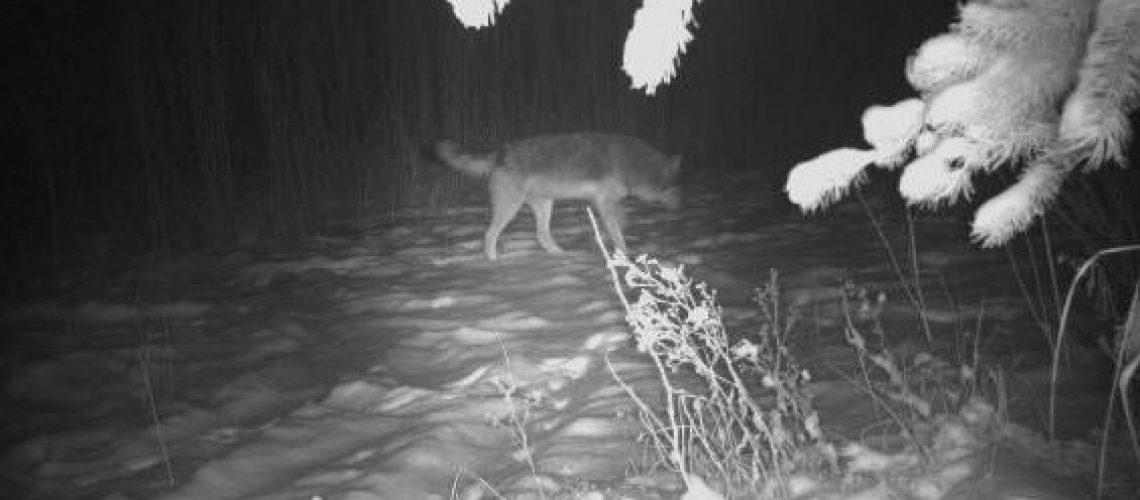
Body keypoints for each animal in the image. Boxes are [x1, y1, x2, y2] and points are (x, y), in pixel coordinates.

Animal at [436, 132, 681, 260]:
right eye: (673, 186)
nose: (681, 202)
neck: (631, 163)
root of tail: (500, 152)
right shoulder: (605, 202)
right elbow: (618, 233)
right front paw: (626, 255)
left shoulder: (607, 204)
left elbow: (617, 230)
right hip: (510, 208)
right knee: (489, 235)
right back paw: (494, 263)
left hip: (545, 205)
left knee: (542, 236)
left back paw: (562, 256)